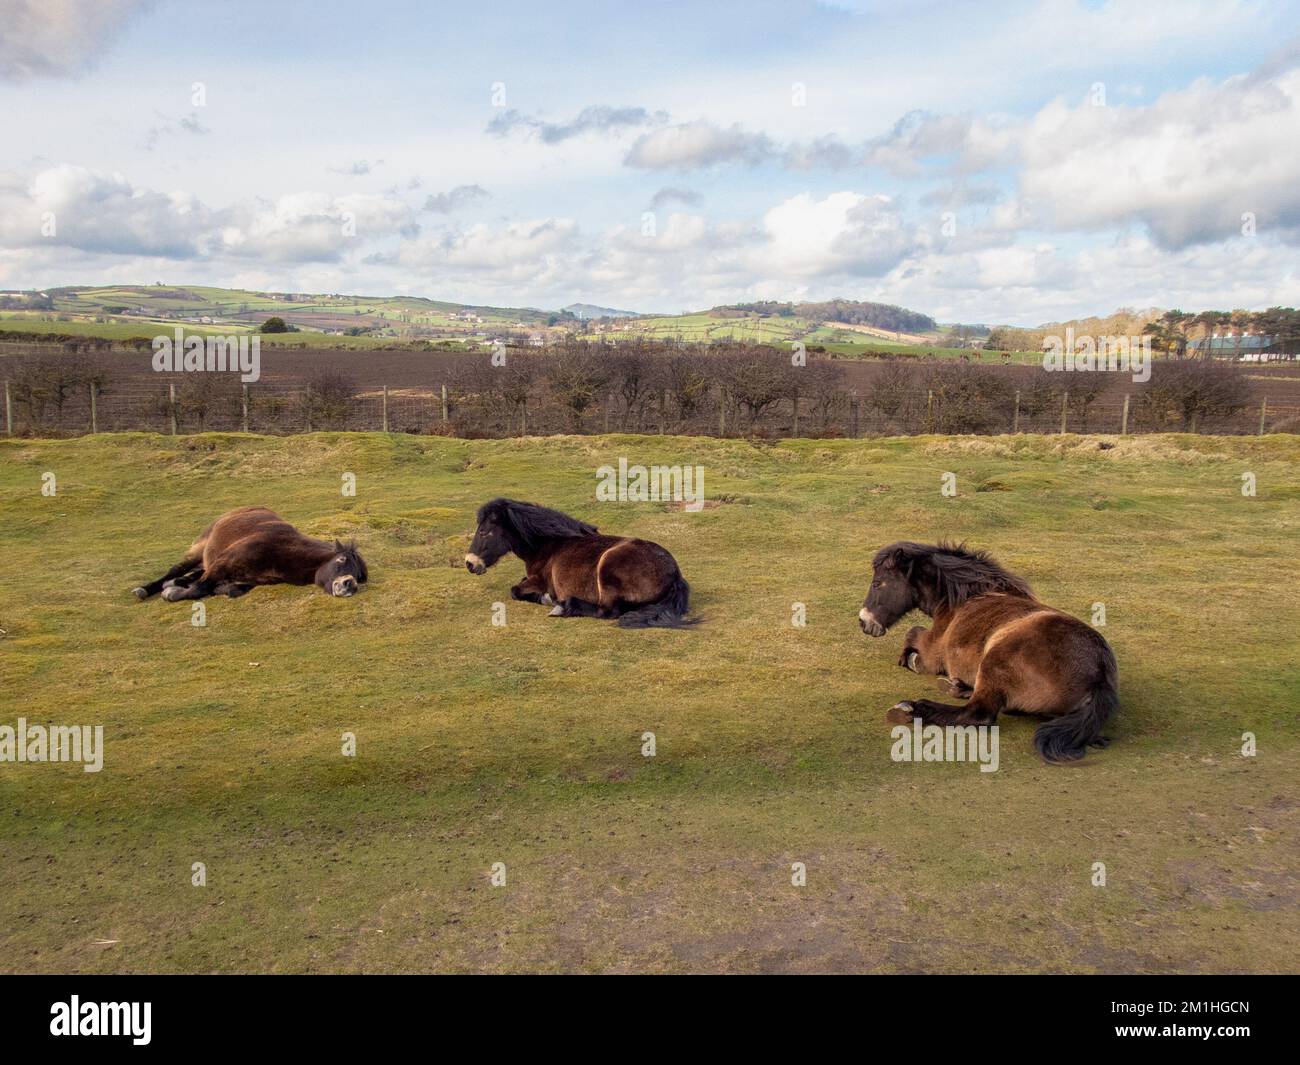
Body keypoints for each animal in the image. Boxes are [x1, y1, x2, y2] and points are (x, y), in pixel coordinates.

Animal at [133, 507, 366, 600]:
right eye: (341, 559)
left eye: (359, 577)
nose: (349, 584)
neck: (284, 551)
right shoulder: (222, 564)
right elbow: (199, 588)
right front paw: (172, 594)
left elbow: (232, 590)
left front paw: (220, 589)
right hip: (199, 550)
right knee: (177, 569)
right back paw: (147, 589)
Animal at [465, 496, 696, 629]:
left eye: (484, 532)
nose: (469, 563)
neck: (549, 545)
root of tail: (675, 574)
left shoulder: (539, 581)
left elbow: (515, 590)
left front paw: (546, 598)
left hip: (607, 569)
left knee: (607, 611)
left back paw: (563, 607)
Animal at [852, 546, 1118, 764]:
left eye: (877, 583)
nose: (864, 622)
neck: (967, 596)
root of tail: (1099, 676)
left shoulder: (932, 652)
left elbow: (912, 634)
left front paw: (908, 659)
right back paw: (956, 686)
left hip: (996, 660)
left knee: (979, 713)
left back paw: (911, 708)